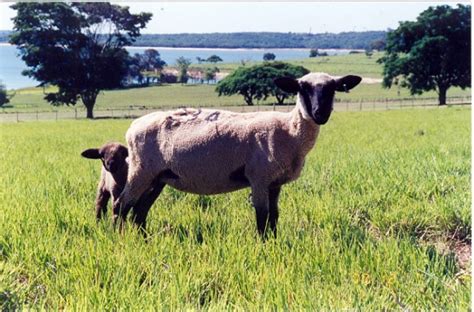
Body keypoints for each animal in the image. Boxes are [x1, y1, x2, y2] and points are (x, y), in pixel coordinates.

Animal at [113, 73, 362, 238]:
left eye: (333, 88)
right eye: (302, 88)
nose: (320, 113)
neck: (289, 131)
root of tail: (132, 127)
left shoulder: (275, 182)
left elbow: (274, 215)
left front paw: (274, 241)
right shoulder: (259, 177)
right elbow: (262, 215)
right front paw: (263, 245)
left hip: (159, 176)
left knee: (139, 211)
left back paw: (143, 239)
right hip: (141, 170)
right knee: (122, 205)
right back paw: (120, 238)